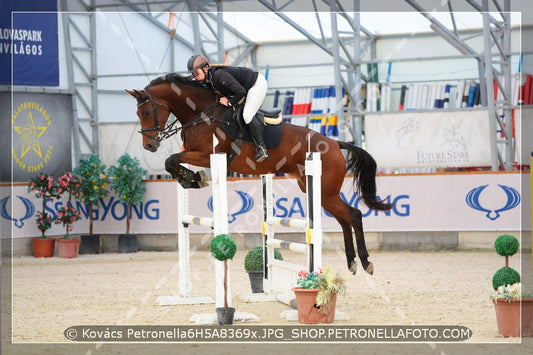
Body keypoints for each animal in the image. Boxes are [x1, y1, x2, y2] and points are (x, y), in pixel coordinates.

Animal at [124, 73, 390, 276]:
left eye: (146, 113)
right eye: (137, 114)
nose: (150, 146)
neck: (202, 115)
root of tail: (334, 143)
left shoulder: (208, 155)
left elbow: (171, 159)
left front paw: (193, 178)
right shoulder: (195, 154)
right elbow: (172, 161)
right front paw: (190, 179)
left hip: (325, 190)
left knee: (354, 215)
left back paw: (365, 262)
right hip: (316, 190)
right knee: (344, 219)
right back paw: (352, 262)